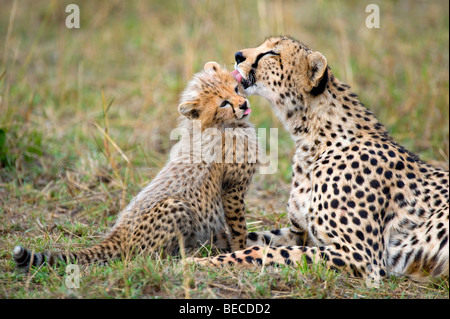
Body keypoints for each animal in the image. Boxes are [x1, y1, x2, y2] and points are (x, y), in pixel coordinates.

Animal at [192, 36, 446, 284]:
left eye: (272, 53)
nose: (237, 55)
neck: (312, 140)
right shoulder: (300, 234)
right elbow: (250, 238)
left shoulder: (363, 257)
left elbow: (262, 252)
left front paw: (199, 263)